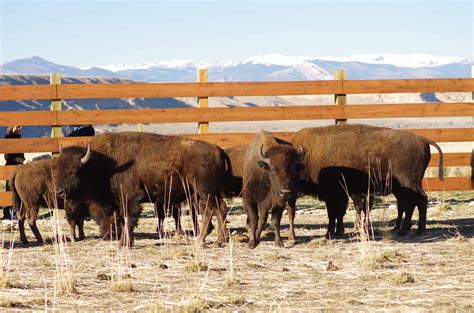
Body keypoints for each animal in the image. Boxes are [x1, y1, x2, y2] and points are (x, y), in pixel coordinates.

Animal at [54, 132, 231, 246]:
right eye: (57, 169)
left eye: (74, 172)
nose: (59, 192)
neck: (102, 164)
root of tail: (217, 149)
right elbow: (123, 219)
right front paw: (125, 242)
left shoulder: (130, 199)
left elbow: (128, 219)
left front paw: (125, 243)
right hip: (204, 193)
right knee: (219, 209)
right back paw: (218, 240)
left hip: (204, 191)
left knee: (212, 210)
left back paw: (203, 240)